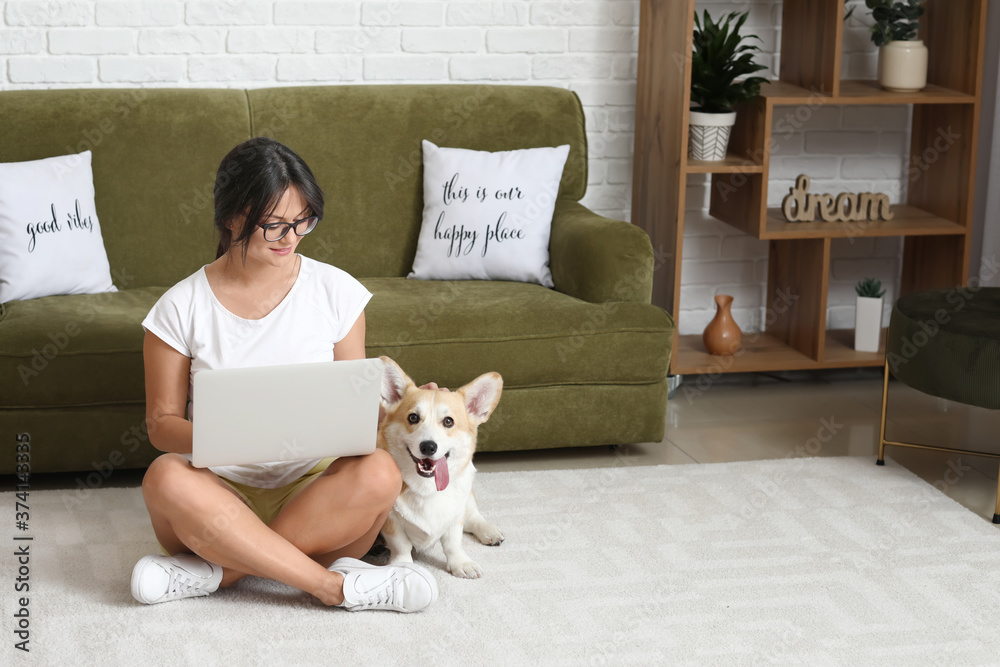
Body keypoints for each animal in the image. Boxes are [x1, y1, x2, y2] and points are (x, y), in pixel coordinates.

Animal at [380, 354, 508, 580]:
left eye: (448, 422)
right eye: (413, 417)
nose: (428, 446)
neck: (426, 487)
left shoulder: (454, 517)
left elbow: (452, 543)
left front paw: (461, 564)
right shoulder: (391, 521)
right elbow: (401, 546)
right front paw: (403, 566)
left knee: (473, 516)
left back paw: (490, 532)